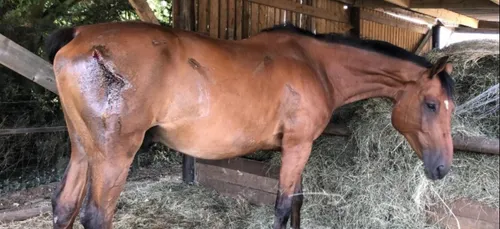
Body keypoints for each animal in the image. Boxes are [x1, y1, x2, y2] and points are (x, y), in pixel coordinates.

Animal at [45, 20, 456, 228]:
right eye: (432, 104)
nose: (442, 169)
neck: (316, 64)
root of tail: (80, 36)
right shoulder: (298, 145)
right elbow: (282, 205)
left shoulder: (296, 148)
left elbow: (297, 202)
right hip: (115, 155)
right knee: (97, 216)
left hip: (82, 148)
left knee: (65, 206)